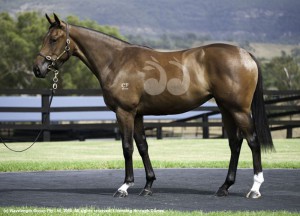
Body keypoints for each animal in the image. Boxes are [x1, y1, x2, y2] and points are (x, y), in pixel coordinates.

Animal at [33, 13, 274, 199]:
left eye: (53, 39)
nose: (38, 68)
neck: (116, 61)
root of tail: (245, 54)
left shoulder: (124, 113)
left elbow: (127, 147)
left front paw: (124, 187)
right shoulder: (138, 115)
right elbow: (142, 147)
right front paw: (148, 186)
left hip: (239, 110)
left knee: (252, 142)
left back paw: (255, 189)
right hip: (226, 109)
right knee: (235, 144)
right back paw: (224, 187)